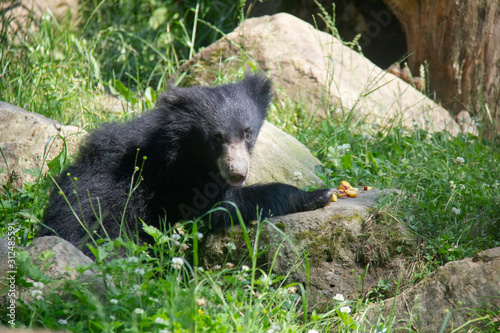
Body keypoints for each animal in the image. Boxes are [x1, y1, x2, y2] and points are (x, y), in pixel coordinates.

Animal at [41, 74, 334, 252]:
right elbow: (222, 206)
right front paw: (320, 194)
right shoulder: (177, 174)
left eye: (247, 133)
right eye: (217, 138)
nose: (237, 174)